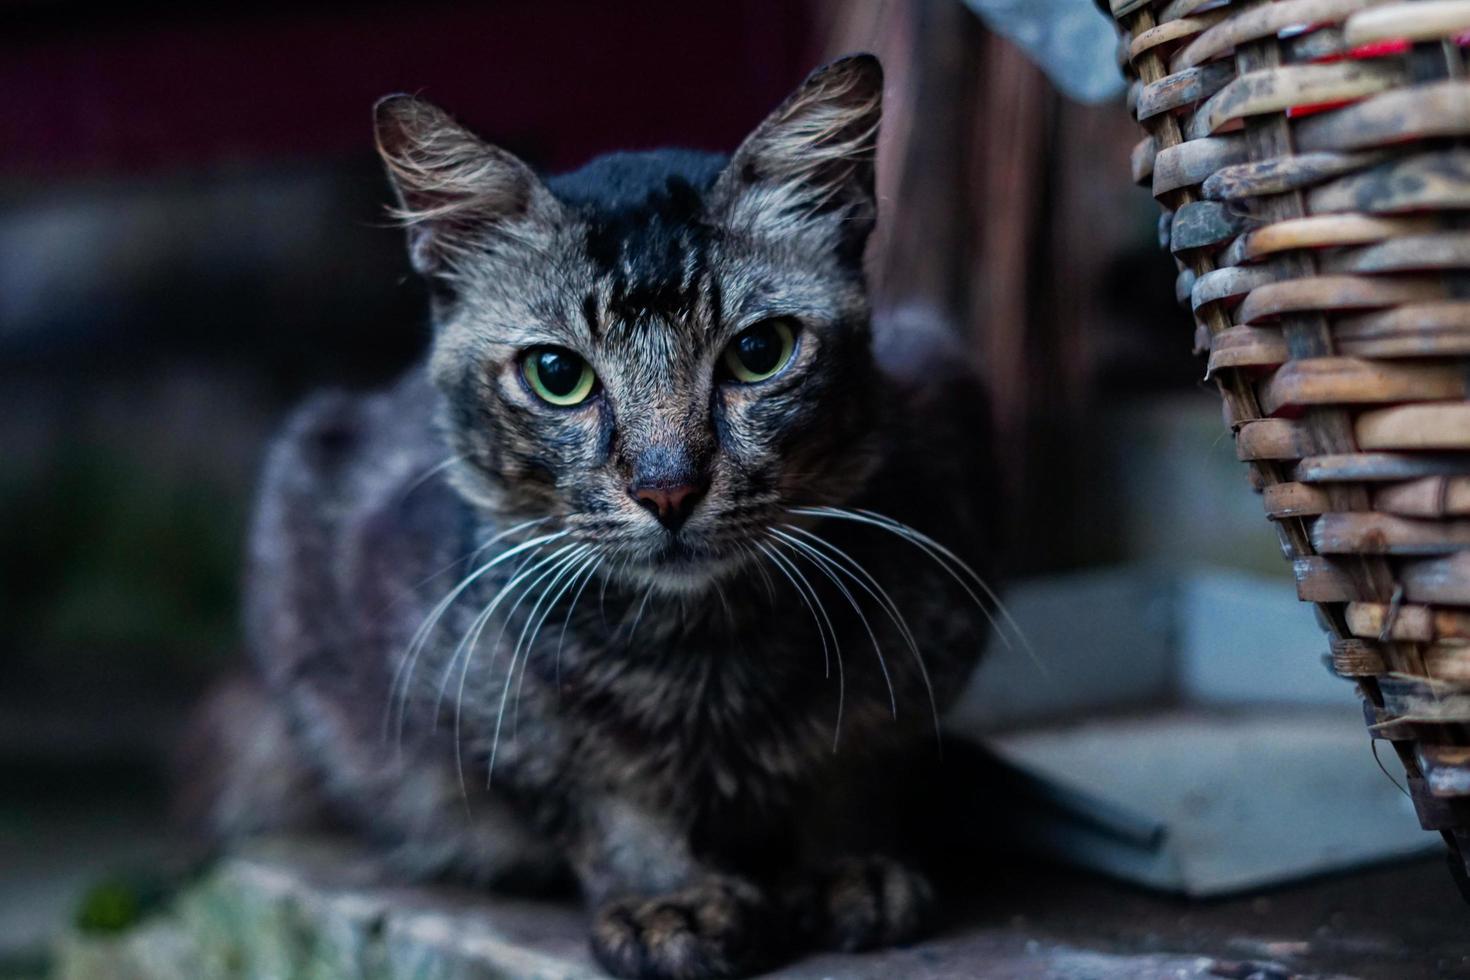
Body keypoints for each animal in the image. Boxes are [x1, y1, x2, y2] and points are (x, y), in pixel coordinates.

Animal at [210, 55, 999, 980]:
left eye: (758, 353)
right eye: (557, 374)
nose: (668, 489)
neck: (702, 656)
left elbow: (861, 757)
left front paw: (849, 866)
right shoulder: (482, 703)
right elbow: (599, 790)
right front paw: (669, 900)